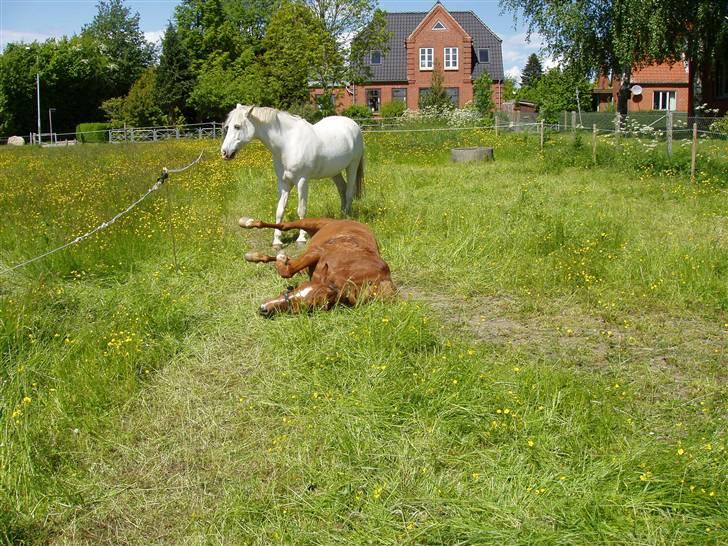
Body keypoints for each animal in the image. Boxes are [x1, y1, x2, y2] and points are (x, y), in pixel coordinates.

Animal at [221, 105, 364, 248]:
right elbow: (280, 210)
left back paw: (345, 219)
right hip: (335, 171)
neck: (288, 143)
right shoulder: (283, 183)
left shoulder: (302, 181)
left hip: (352, 165)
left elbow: (301, 210)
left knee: (349, 192)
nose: (224, 153)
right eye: (227, 127)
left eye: (237, 126)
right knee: (342, 189)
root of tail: (353, 124)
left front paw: (301, 238)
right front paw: (277, 241)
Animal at [239, 216, 395, 317]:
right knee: (284, 226)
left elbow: (288, 267)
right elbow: (288, 271)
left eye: (306, 307)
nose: (264, 309)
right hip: (312, 222)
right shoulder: (317, 252)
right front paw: (281, 258)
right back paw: (247, 223)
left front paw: (281, 258)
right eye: (295, 287)